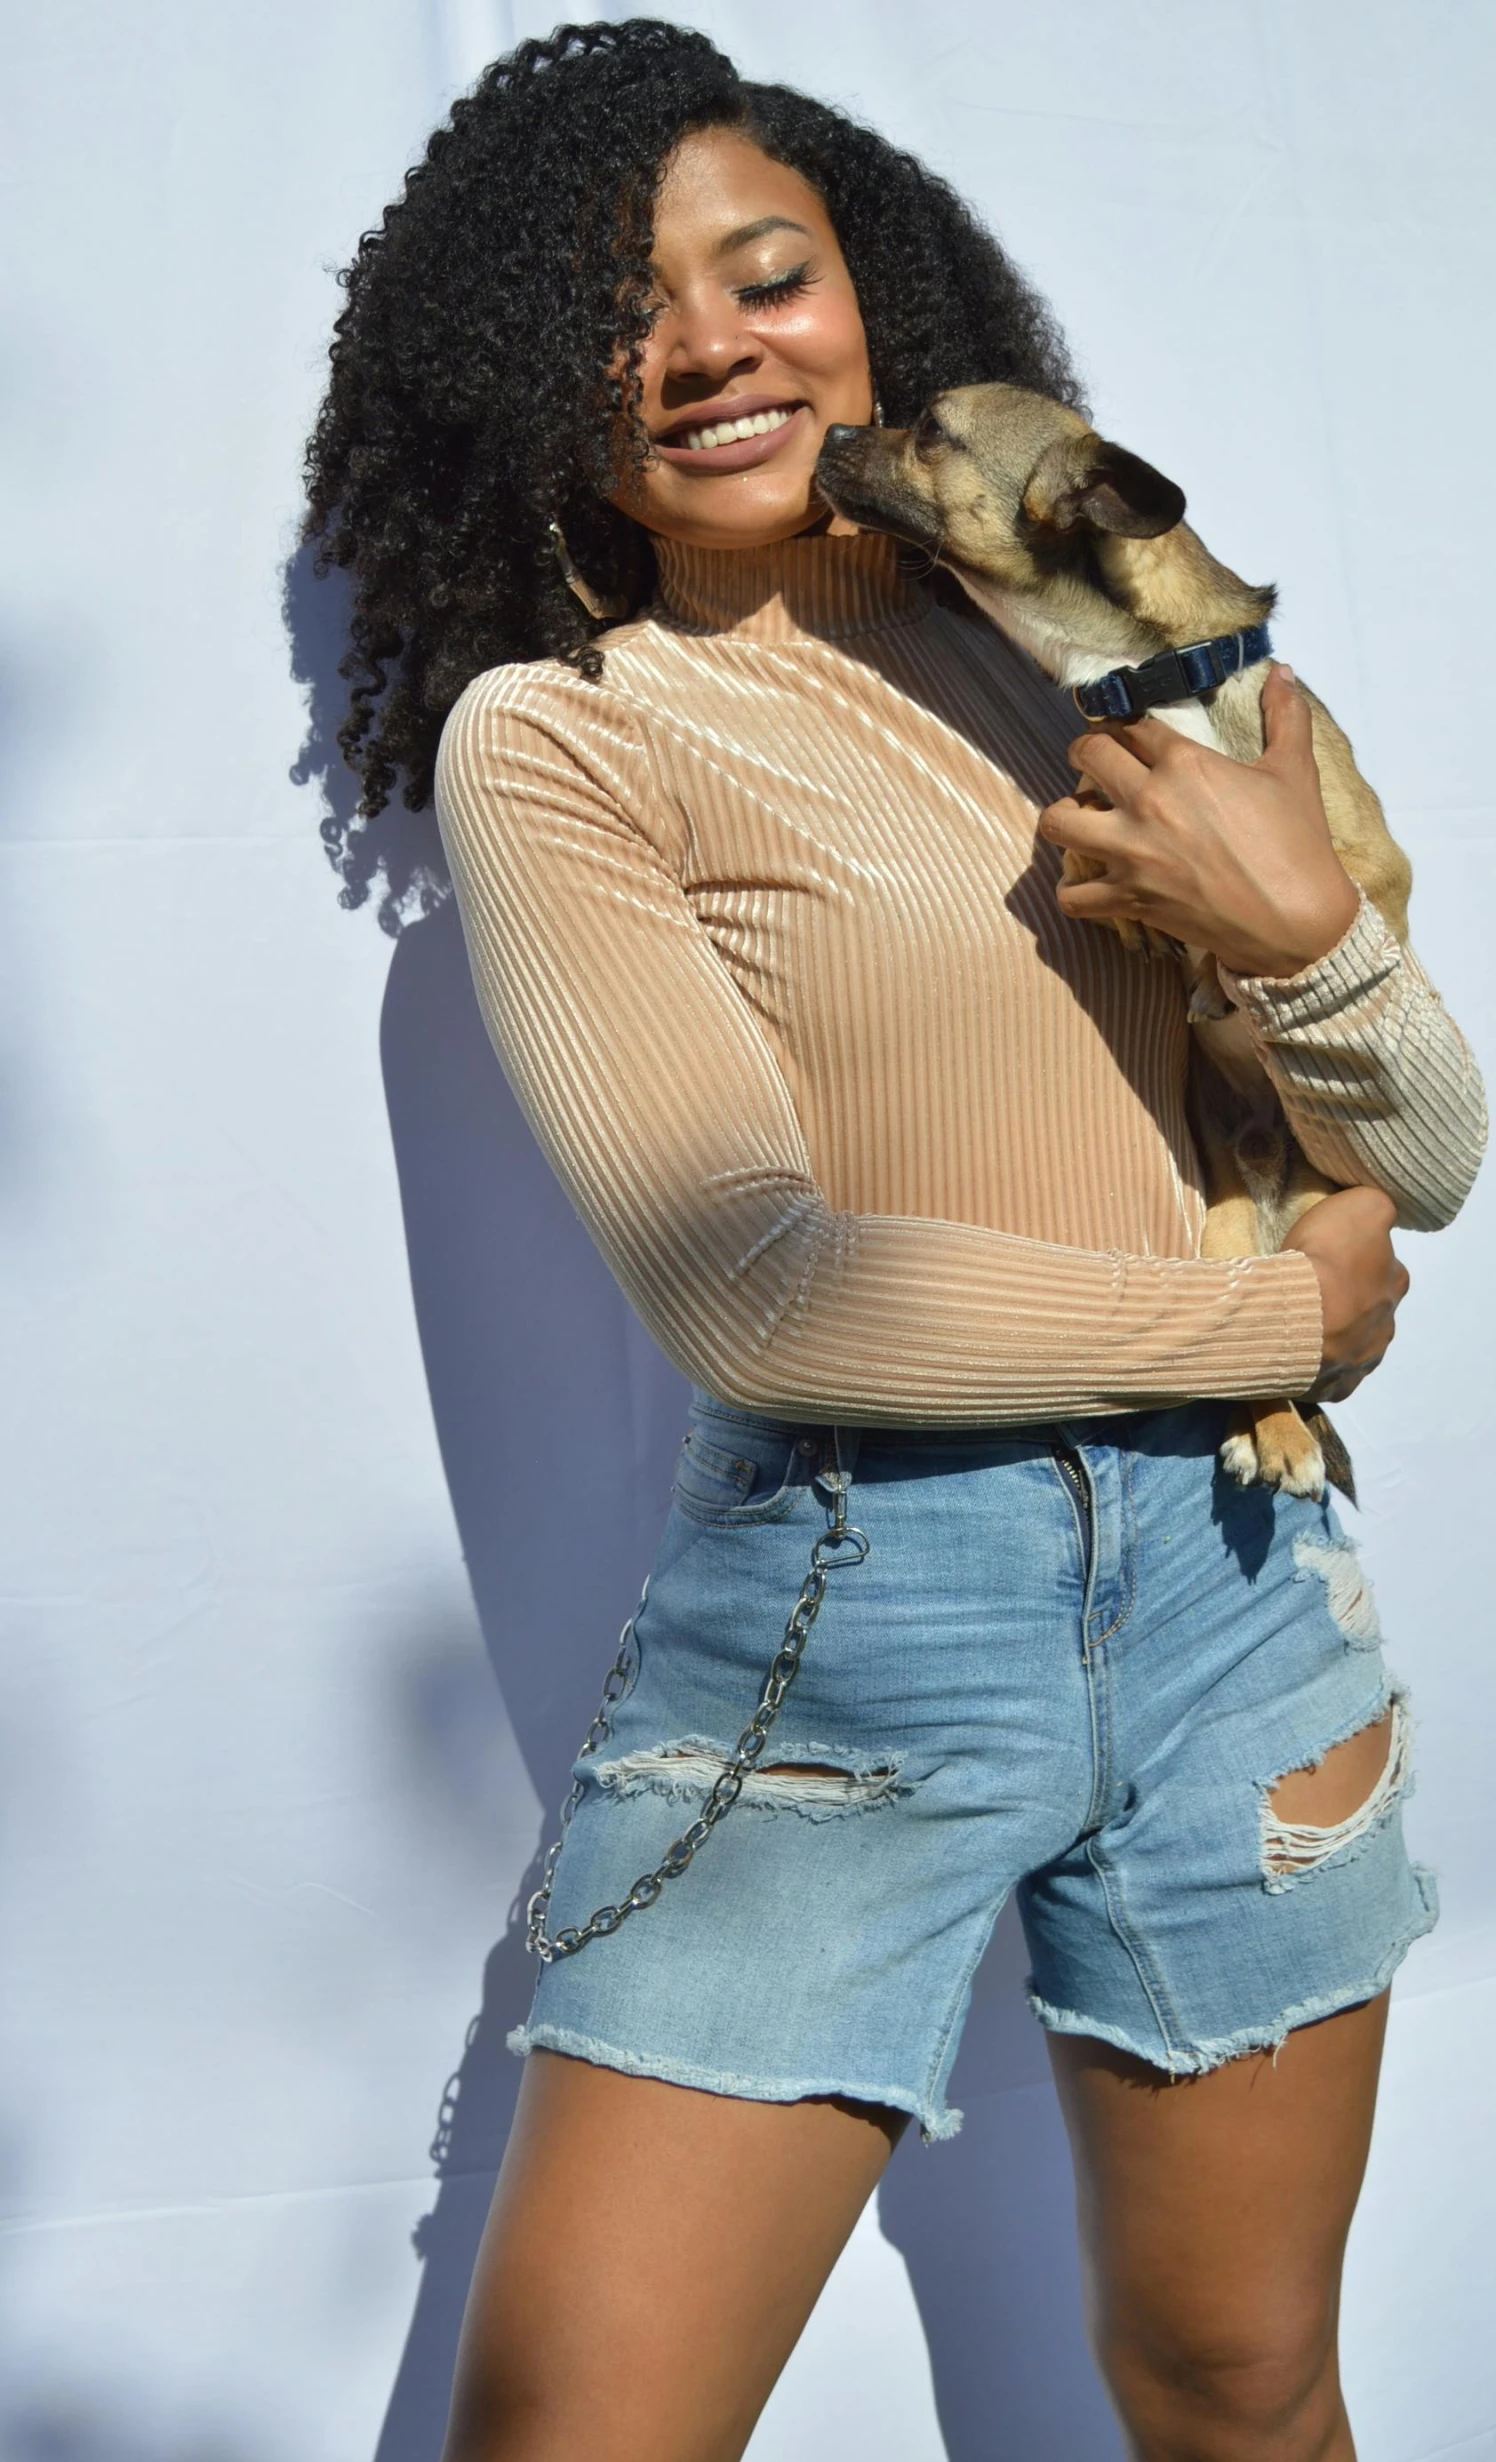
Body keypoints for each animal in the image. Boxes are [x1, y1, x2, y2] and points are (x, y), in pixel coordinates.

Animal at [816, 384, 1417, 1496]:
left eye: (928, 432)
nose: (834, 431)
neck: (1148, 675)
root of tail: (1267, 1177)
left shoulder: (1370, 865)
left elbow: (1337, 903)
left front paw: (1225, 957)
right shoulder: (1094, 793)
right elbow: (1073, 837)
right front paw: (1143, 915)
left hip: (1318, 1223)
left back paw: (1285, 1439)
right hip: (1227, 1248)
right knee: (1261, 1346)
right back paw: (1270, 1431)